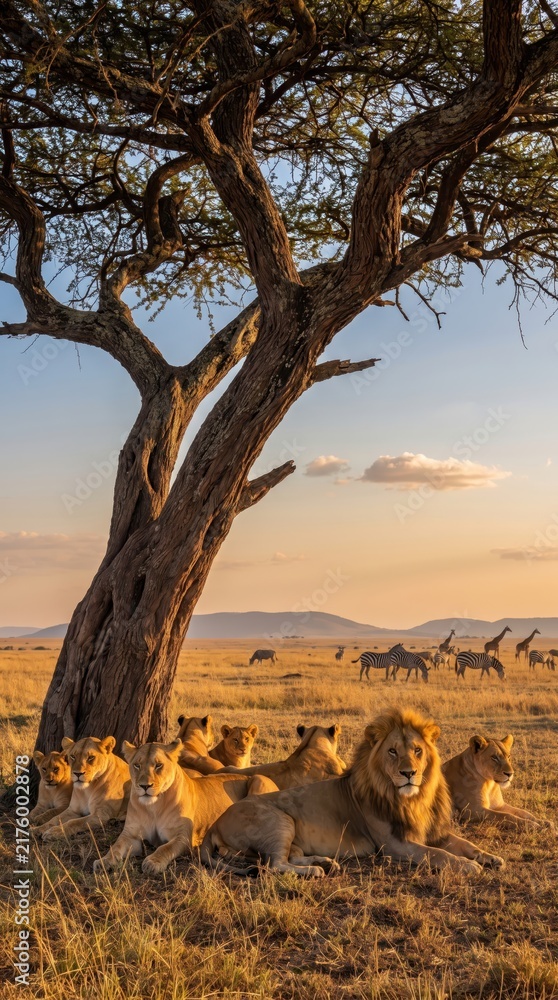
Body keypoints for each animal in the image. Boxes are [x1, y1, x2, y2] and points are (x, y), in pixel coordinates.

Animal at [93, 738, 279, 876]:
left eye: (158, 765)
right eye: (137, 765)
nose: (145, 786)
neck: (153, 807)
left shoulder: (183, 837)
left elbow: (164, 848)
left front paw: (153, 862)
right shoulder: (131, 835)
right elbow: (116, 846)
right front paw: (103, 861)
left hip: (258, 780)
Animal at [201, 708, 505, 877]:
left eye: (418, 750)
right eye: (392, 751)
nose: (408, 773)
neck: (413, 799)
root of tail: (214, 823)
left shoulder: (433, 832)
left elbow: (466, 844)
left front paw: (491, 858)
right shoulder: (394, 845)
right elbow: (439, 855)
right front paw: (469, 866)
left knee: (288, 857)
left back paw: (325, 863)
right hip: (279, 820)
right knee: (274, 865)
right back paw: (315, 871)